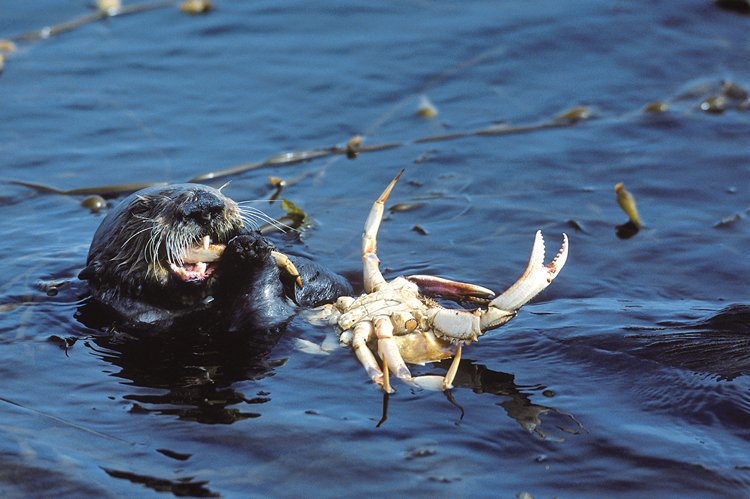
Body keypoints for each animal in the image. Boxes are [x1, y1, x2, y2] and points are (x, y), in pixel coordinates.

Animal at [78, 183, 354, 332]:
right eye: (141, 209)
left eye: (214, 191)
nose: (203, 206)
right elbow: (262, 317)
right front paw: (251, 247)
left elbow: (338, 284)